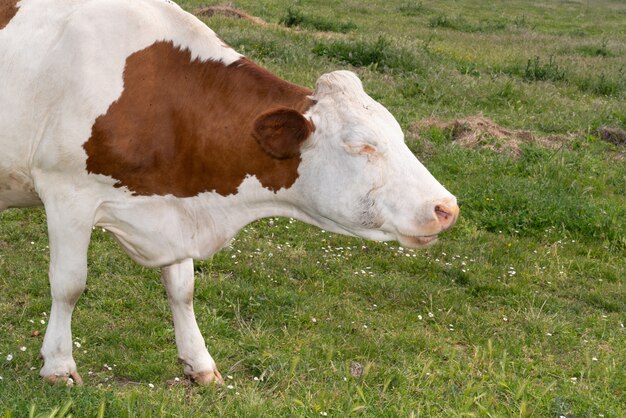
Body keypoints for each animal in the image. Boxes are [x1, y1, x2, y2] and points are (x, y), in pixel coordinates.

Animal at [0, 0, 458, 386]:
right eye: (361, 145)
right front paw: (58, 367)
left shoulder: (178, 197)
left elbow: (182, 289)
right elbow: (69, 284)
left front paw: (199, 364)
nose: (447, 207)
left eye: (398, 134)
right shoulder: (67, 193)